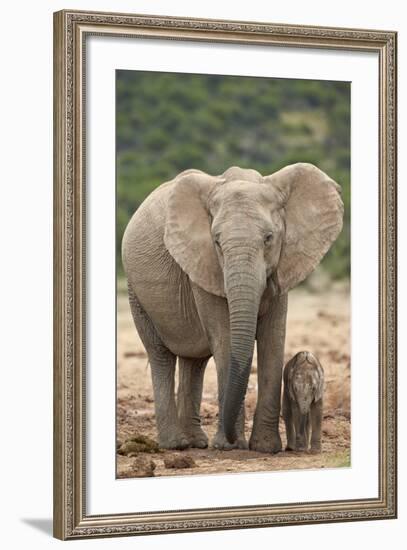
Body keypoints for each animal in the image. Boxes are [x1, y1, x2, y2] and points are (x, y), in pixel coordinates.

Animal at [122, 165, 344, 458]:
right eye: (217, 241)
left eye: (269, 238)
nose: (228, 440)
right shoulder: (203, 264)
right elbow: (225, 338)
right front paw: (231, 446)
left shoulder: (282, 264)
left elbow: (274, 338)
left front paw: (265, 448)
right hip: (136, 292)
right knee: (161, 355)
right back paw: (176, 445)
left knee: (194, 361)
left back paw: (196, 442)